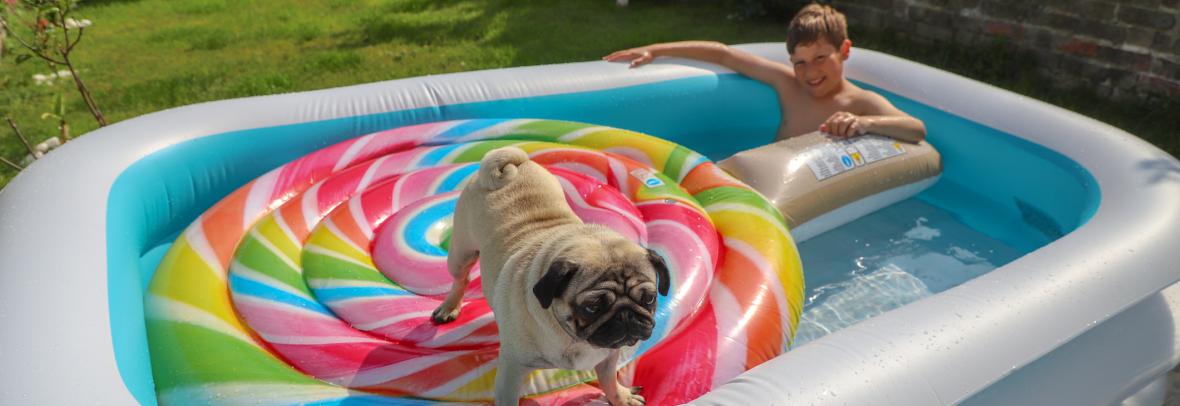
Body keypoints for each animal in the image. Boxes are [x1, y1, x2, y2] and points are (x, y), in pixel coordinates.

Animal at [436, 147, 674, 406]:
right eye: (592, 307)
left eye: (649, 298)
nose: (626, 315)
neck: (575, 337)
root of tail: (514, 163)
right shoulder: (511, 370)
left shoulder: (608, 355)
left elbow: (609, 380)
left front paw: (620, 398)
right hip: (461, 252)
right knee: (461, 279)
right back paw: (449, 307)